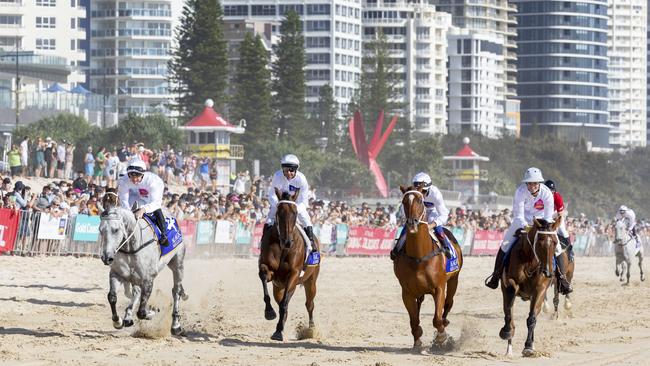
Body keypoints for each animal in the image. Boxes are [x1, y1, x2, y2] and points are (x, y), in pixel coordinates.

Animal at [98, 206, 186, 334]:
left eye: (115, 230)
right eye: (100, 230)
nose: (106, 257)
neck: (132, 247)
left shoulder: (148, 279)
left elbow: (141, 312)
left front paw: (152, 311)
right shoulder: (117, 274)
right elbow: (112, 297)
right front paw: (117, 321)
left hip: (177, 264)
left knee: (176, 291)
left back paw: (176, 325)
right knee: (136, 292)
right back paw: (128, 316)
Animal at [256, 190, 320, 342]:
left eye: (295, 213)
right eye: (279, 213)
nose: (288, 242)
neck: (282, 248)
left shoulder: (294, 275)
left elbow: (284, 303)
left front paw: (279, 330)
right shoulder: (268, 270)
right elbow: (264, 277)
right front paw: (269, 312)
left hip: (311, 281)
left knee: (309, 304)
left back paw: (311, 330)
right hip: (278, 286)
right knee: (280, 300)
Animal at [392, 186, 464, 348]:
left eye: (420, 200)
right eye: (404, 201)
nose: (412, 223)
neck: (419, 258)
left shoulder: (439, 287)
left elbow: (437, 319)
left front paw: (441, 338)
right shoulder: (407, 292)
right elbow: (414, 321)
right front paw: (417, 340)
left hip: (454, 279)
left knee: (449, 303)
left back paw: (445, 321)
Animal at [498, 217, 560, 358]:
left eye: (555, 242)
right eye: (540, 242)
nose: (548, 272)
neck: (530, 262)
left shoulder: (539, 290)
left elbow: (532, 318)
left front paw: (528, 347)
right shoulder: (509, 284)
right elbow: (509, 312)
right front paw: (507, 331)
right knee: (509, 312)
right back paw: (509, 349)